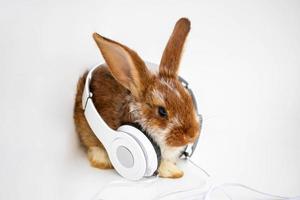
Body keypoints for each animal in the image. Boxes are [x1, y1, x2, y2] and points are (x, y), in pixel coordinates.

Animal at [73, 18, 202, 178]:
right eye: (162, 111)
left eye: (188, 99)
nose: (192, 135)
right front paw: (173, 172)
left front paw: (175, 170)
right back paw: (102, 160)